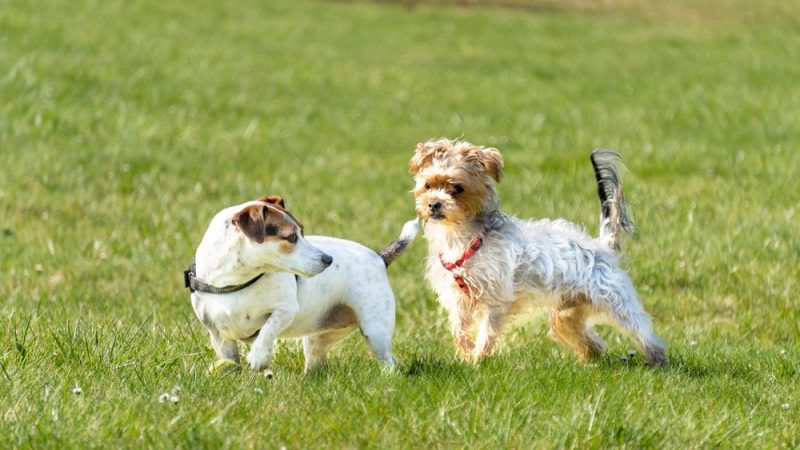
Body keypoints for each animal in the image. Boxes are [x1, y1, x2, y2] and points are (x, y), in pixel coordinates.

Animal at [184, 195, 416, 374]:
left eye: (303, 232)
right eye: (291, 237)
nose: (328, 259)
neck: (234, 281)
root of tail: (379, 257)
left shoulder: (285, 309)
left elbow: (268, 328)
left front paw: (259, 356)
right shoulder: (218, 334)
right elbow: (230, 358)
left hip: (375, 330)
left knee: (389, 362)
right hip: (319, 338)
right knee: (317, 362)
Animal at [410, 140, 664, 366]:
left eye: (457, 188)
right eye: (428, 186)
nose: (434, 204)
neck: (462, 237)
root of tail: (603, 245)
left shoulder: (497, 300)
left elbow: (486, 332)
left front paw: (477, 360)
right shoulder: (460, 298)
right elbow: (459, 329)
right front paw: (466, 355)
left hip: (616, 302)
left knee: (644, 332)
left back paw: (657, 361)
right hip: (566, 313)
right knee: (593, 343)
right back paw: (589, 362)